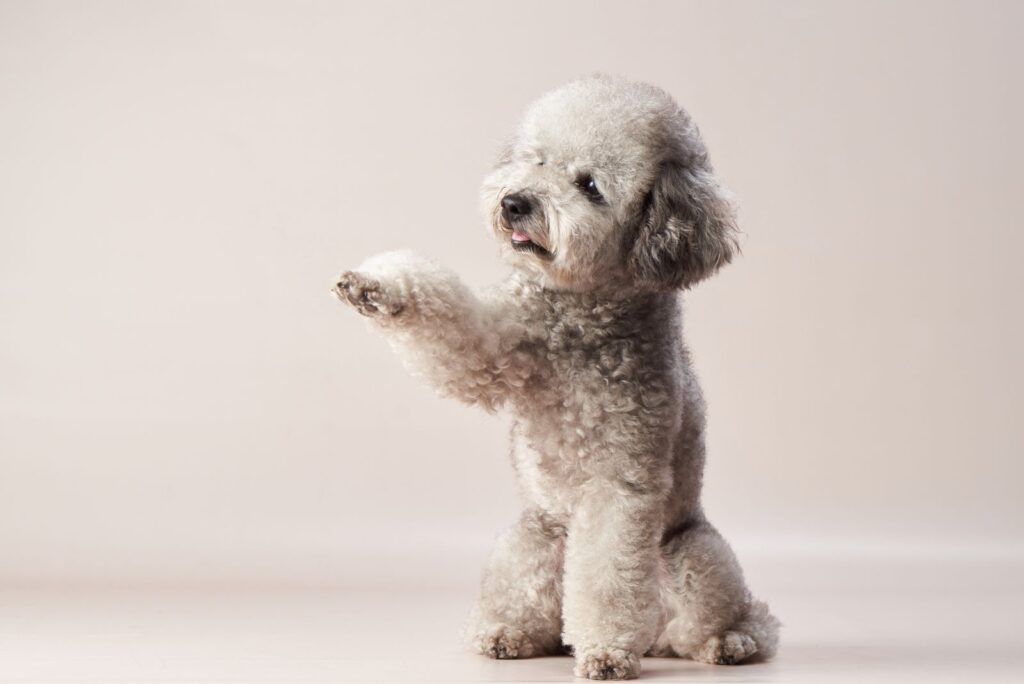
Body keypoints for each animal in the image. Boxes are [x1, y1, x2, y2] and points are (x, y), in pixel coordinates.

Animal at [333, 74, 774, 679]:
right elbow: (451, 327)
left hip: (692, 556)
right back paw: (508, 634)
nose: (515, 202)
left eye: (589, 184)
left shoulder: (620, 482)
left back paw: (727, 642)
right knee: (536, 608)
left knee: (736, 618)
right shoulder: (493, 341)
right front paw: (372, 286)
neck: (578, 313)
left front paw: (607, 652)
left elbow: (609, 574)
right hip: (533, 542)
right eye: (537, 160)